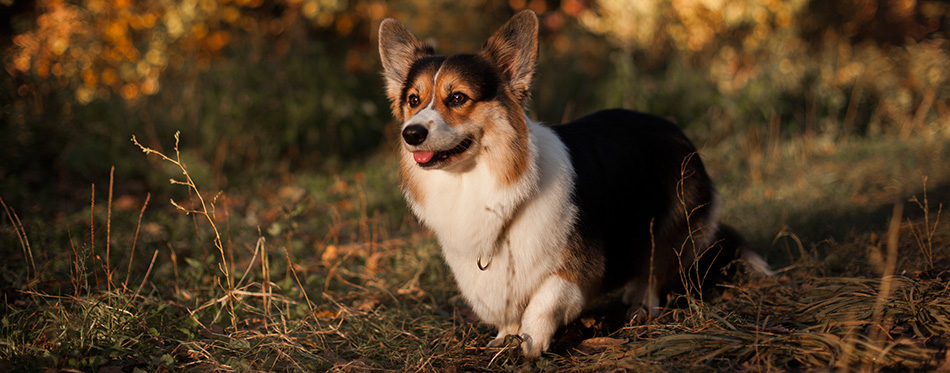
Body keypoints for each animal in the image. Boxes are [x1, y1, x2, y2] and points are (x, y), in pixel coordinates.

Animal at [380, 9, 768, 358]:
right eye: (413, 100)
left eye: (458, 98)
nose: (411, 134)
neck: (481, 182)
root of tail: (673, 127)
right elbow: (508, 311)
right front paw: (505, 338)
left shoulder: (575, 268)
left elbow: (543, 302)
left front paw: (530, 343)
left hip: (669, 227)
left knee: (655, 271)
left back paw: (642, 306)